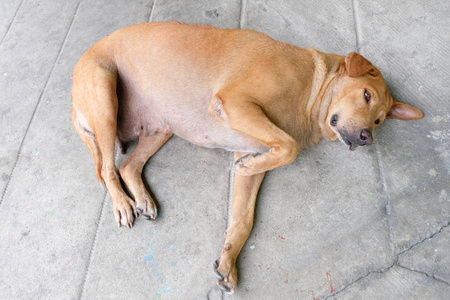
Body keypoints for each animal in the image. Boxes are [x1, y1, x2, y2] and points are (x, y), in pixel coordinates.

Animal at [70, 22, 422, 292]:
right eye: (366, 95)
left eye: (379, 120)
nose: (366, 138)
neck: (311, 88)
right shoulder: (234, 102)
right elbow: (289, 146)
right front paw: (253, 162)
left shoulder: (249, 147)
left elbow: (243, 218)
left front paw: (228, 260)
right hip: (105, 96)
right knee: (107, 169)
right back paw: (122, 204)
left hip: (163, 127)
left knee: (129, 165)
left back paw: (142, 198)